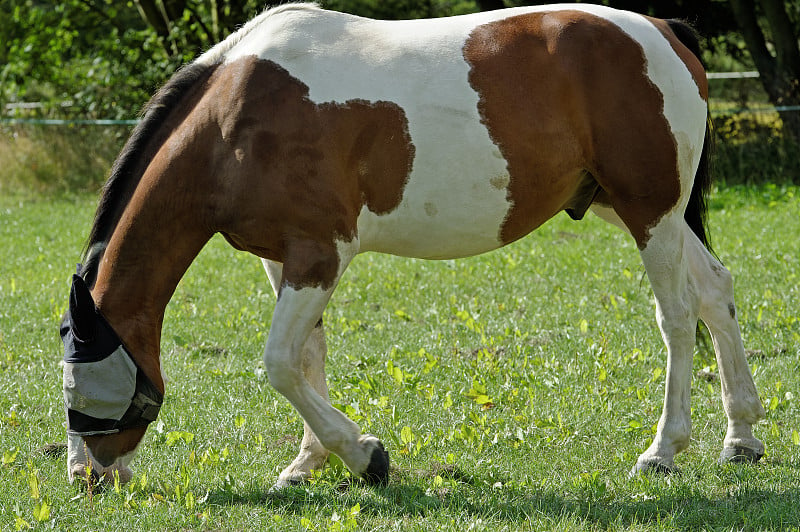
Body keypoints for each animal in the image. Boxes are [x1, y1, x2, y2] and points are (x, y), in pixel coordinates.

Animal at [61, 3, 764, 490]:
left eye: (85, 393)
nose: (88, 478)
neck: (238, 120)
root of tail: (662, 30)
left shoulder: (320, 254)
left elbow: (281, 363)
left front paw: (364, 455)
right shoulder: (282, 258)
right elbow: (308, 355)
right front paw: (309, 462)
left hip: (651, 213)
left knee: (677, 316)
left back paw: (663, 451)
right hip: (635, 209)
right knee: (716, 291)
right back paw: (742, 436)